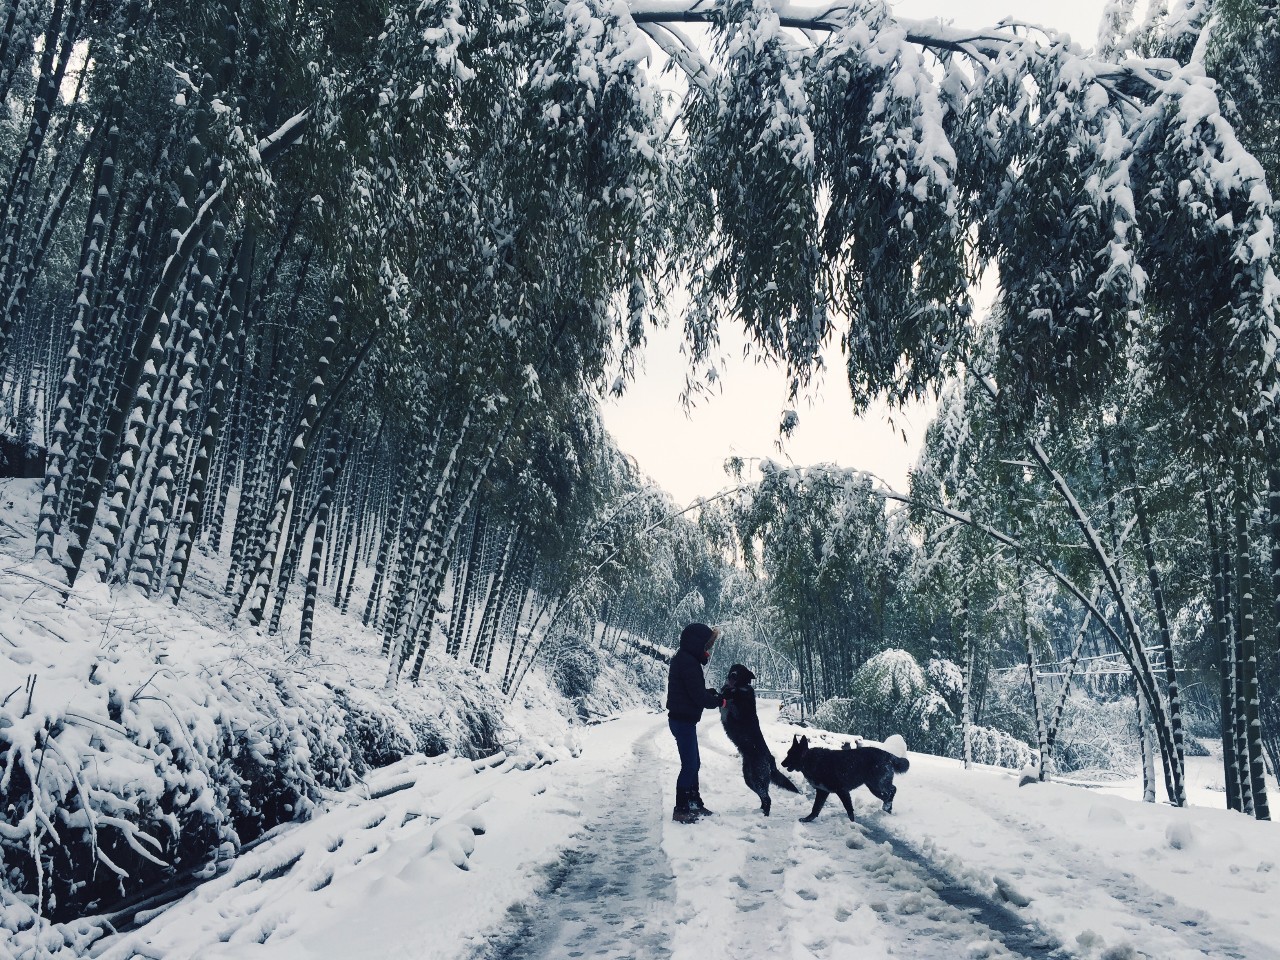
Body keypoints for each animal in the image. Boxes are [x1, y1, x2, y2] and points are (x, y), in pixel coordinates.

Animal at [721, 665, 798, 814]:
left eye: (740, 671)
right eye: (733, 668)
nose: (733, 674)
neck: (740, 686)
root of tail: (771, 759)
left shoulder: (737, 708)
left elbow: (729, 696)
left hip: (757, 778)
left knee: (767, 798)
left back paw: (764, 814)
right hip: (749, 778)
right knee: (764, 797)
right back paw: (760, 811)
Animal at [778, 732, 911, 824]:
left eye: (790, 754)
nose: (781, 763)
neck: (809, 759)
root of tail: (888, 755)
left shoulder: (842, 791)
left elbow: (849, 809)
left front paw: (852, 823)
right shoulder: (822, 792)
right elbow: (815, 808)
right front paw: (808, 819)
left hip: (877, 785)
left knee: (892, 790)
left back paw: (887, 807)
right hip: (874, 787)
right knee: (889, 793)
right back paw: (887, 809)